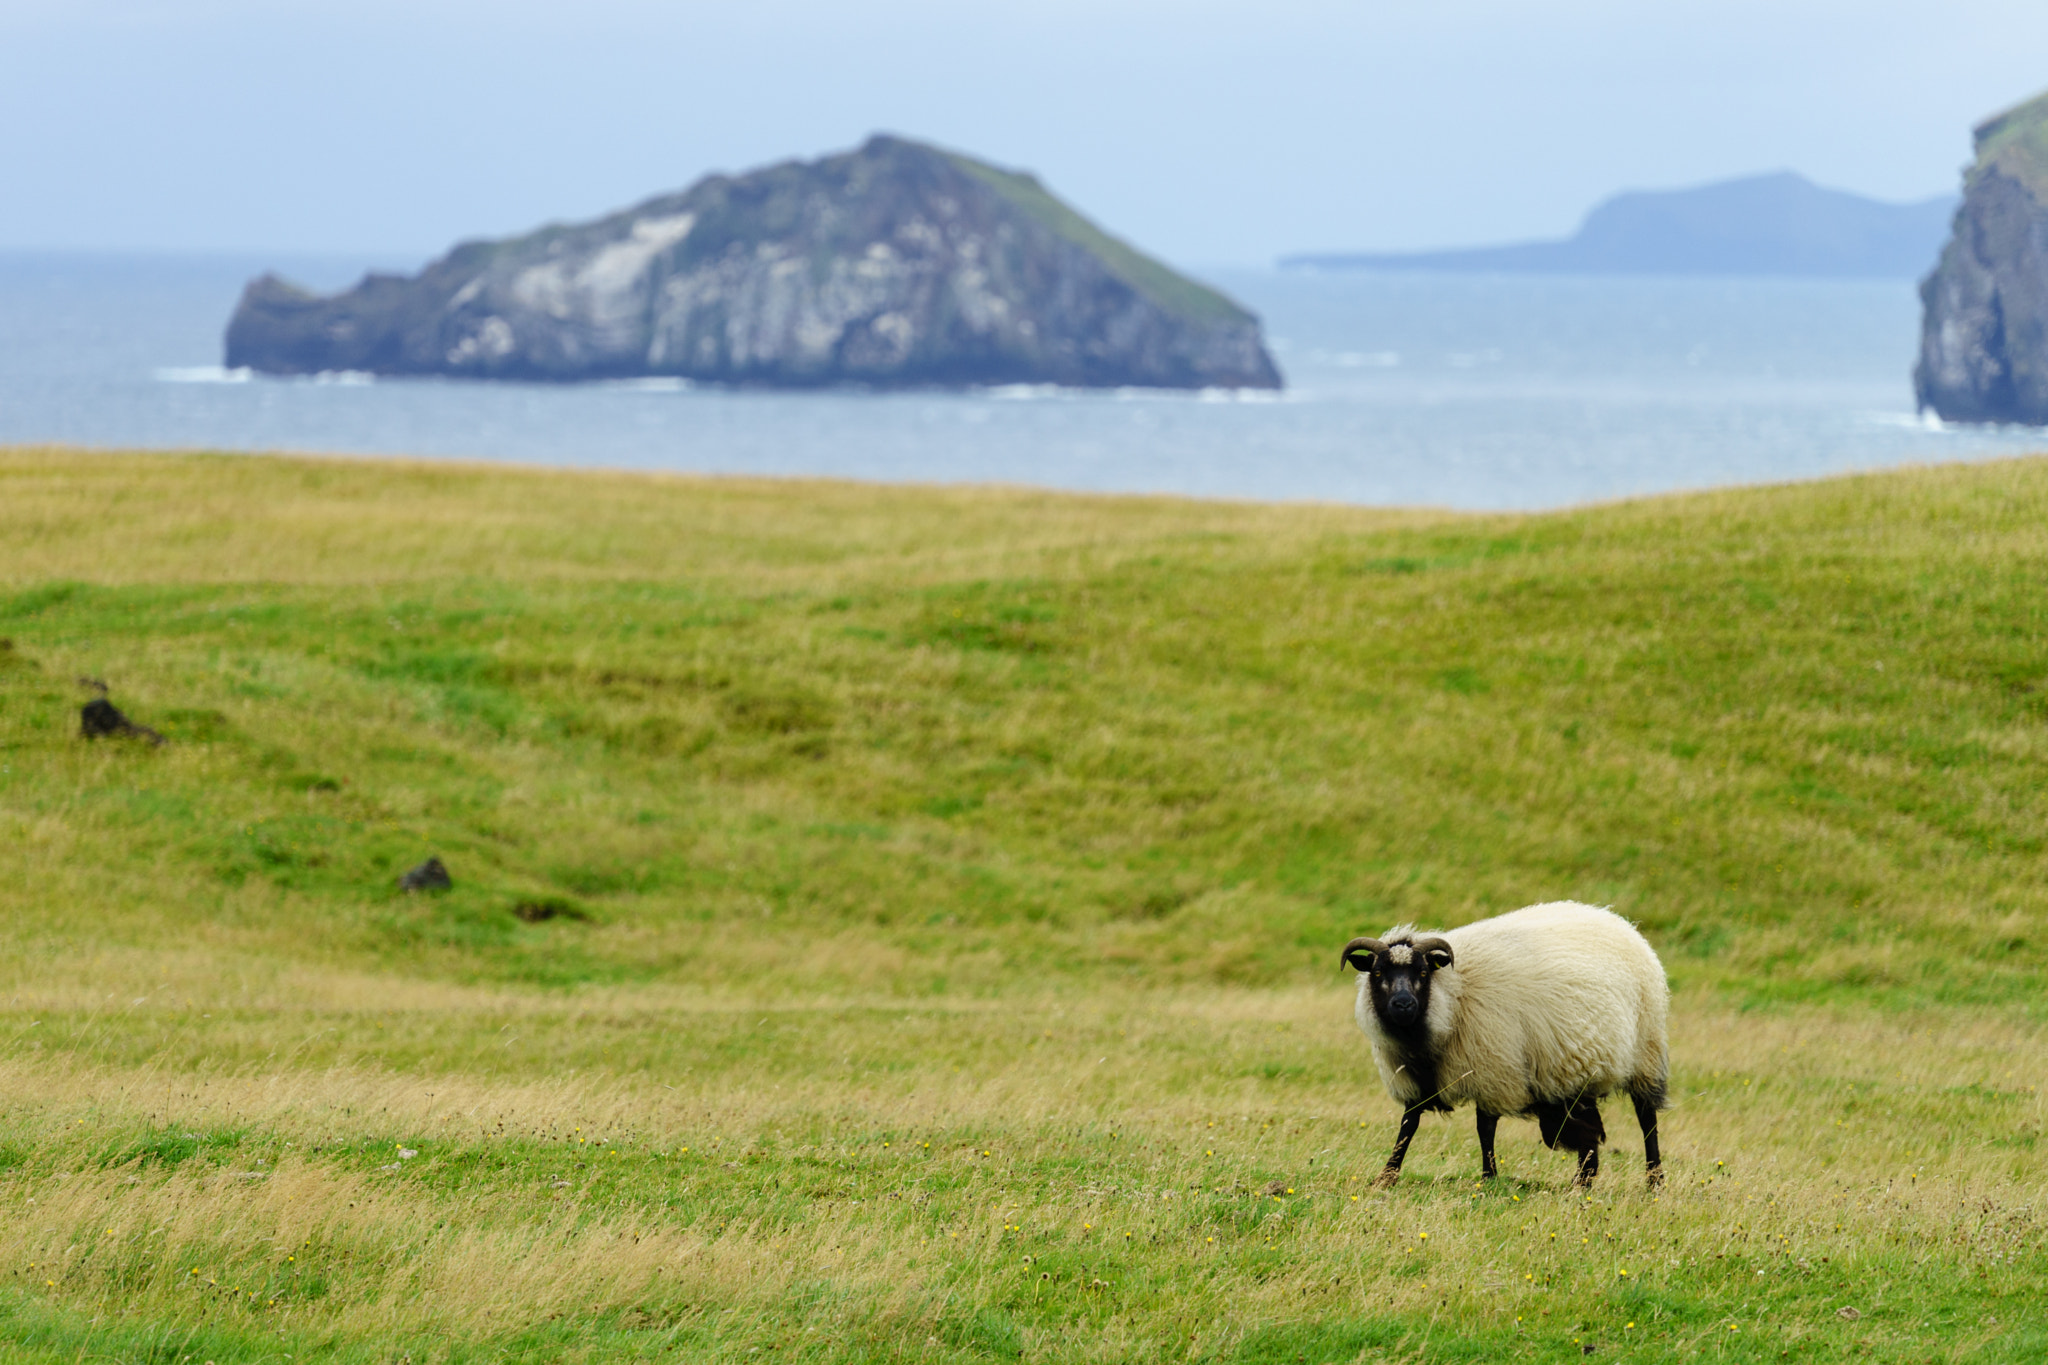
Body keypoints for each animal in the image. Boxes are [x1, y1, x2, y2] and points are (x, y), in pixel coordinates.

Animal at [1343, 908, 1662, 1186]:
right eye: (1377, 973)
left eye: (1423, 973)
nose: (1403, 1004)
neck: (1451, 998)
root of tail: (1619, 921)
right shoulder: (1412, 1081)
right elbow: (1408, 1125)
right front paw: (1386, 1177)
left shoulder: (1492, 1070)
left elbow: (1485, 1129)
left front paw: (1488, 1178)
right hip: (1578, 1070)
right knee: (1590, 1127)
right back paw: (1582, 1182)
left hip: (1646, 1053)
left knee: (1646, 1120)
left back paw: (1654, 1181)